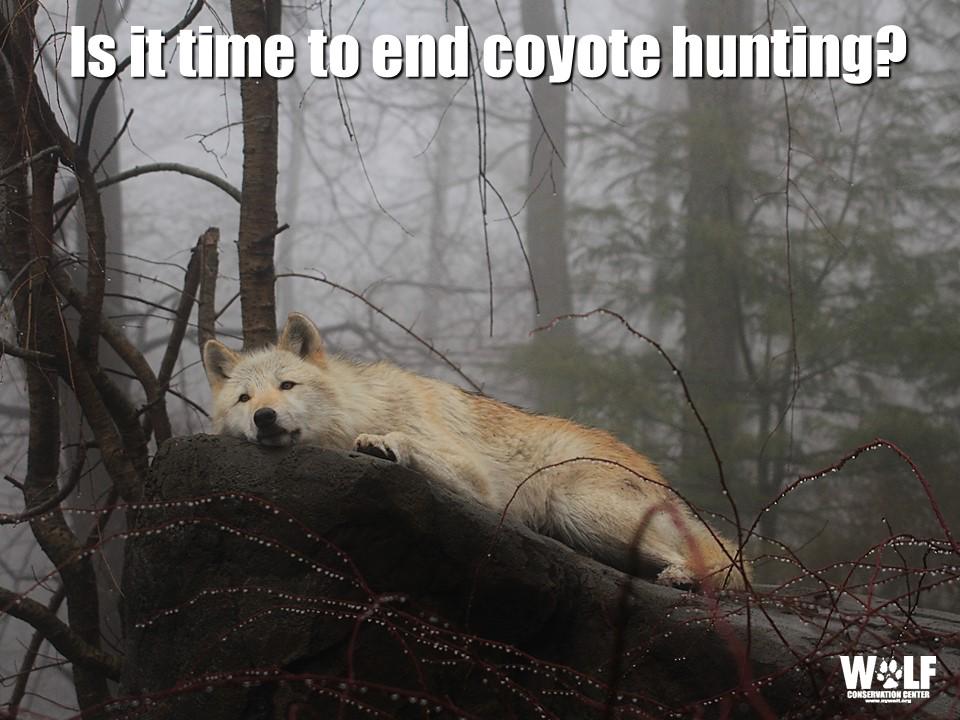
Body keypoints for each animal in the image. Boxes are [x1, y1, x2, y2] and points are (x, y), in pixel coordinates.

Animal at [203, 313, 747, 590]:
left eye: (287, 386)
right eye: (244, 399)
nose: (264, 417)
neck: (359, 409)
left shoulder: (480, 483)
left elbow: (408, 441)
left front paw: (382, 444)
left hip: (577, 506)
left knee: (727, 563)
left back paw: (682, 575)